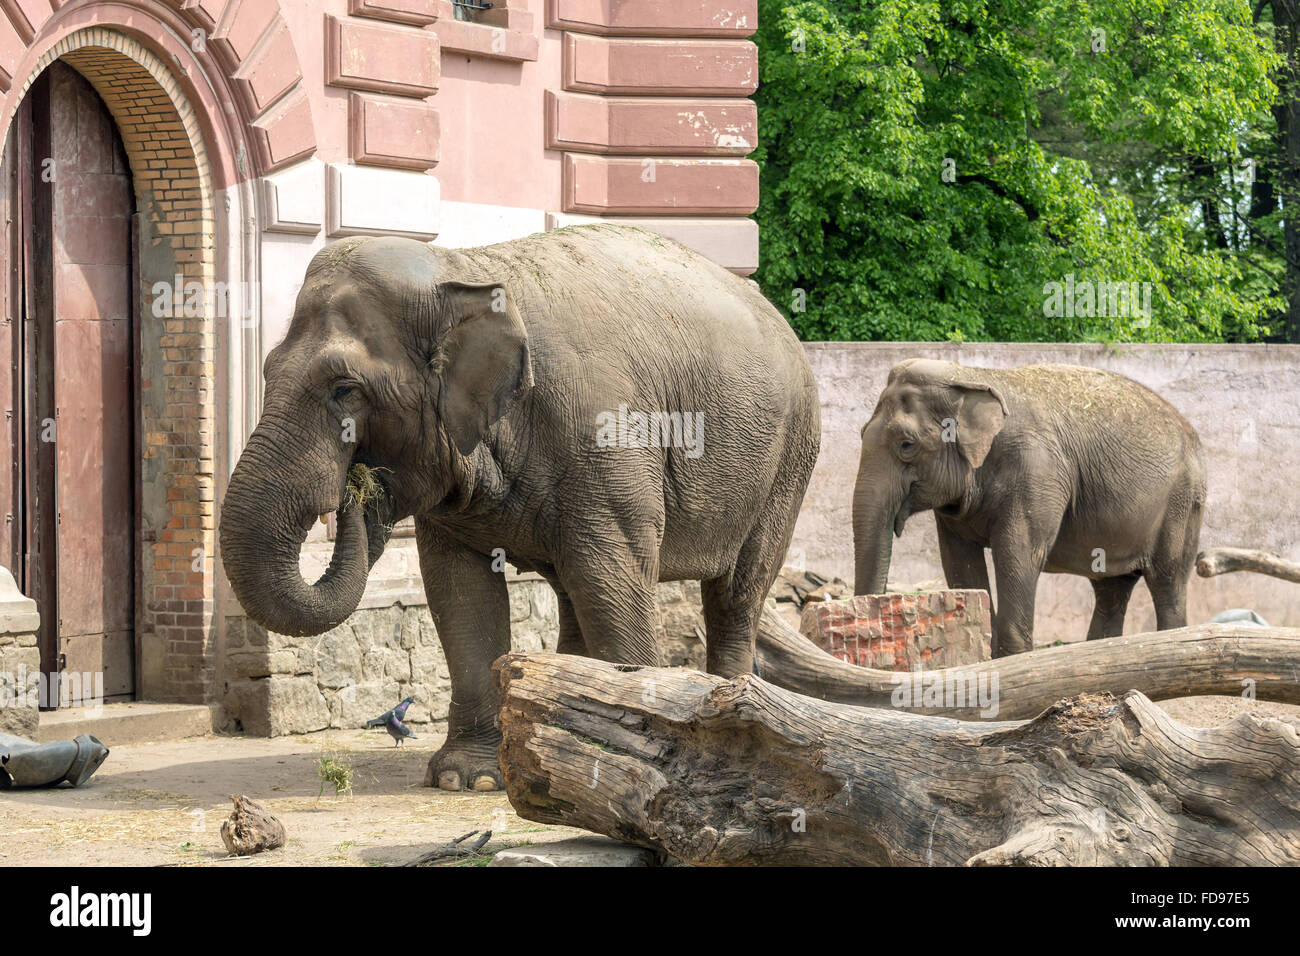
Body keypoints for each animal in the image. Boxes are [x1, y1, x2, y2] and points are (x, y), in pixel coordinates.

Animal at [218, 223, 816, 790]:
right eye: (266, 371)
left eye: (345, 389)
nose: (355, 490)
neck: (464, 270)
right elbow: (460, 594)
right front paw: (469, 778)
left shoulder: (607, 435)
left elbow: (616, 583)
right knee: (576, 592)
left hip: (789, 462)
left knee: (735, 591)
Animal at [852, 358, 1206, 658]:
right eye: (861, 432)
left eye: (906, 445)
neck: (971, 375)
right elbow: (958, 560)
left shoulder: (1037, 472)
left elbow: (1018, 553)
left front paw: (1011, 660)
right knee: (1110, 587)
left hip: (1183, 503)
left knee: (1168, 581)